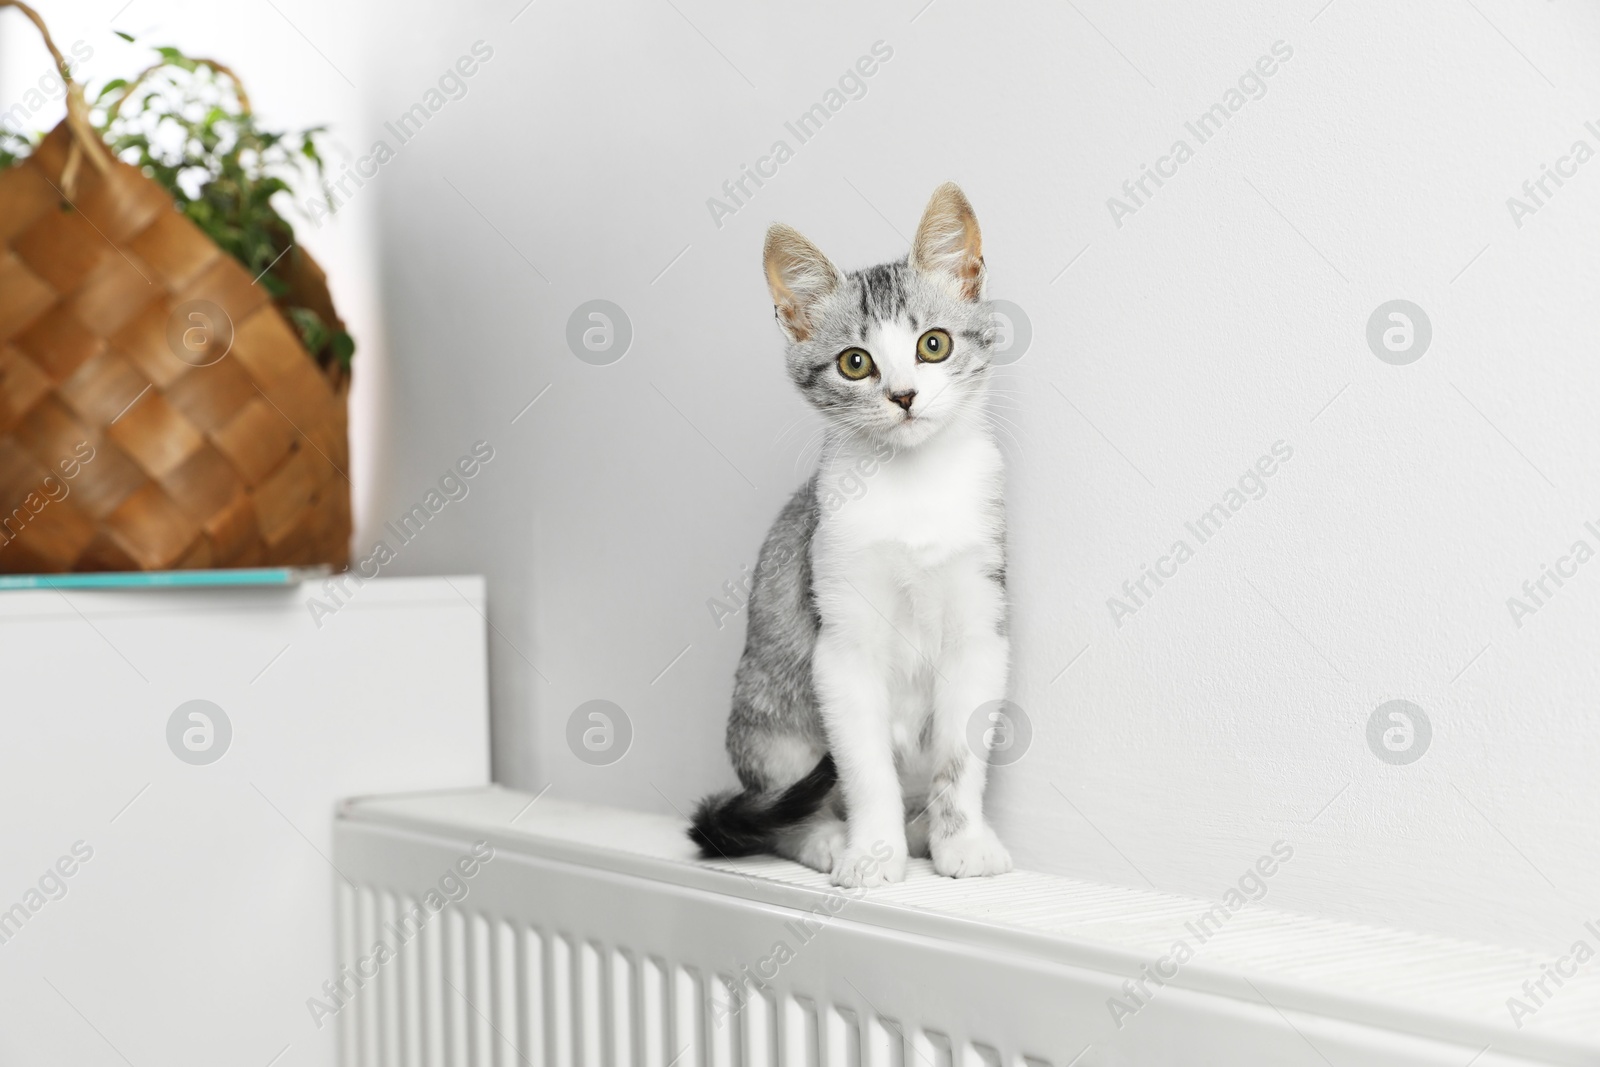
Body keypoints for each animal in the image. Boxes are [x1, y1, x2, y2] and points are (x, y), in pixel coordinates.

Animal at [691, 185, 1011, 895]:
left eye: (933, 344)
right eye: (855, 362)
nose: (904, 395)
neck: (913, 487)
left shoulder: (980, 628)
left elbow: (959, 757)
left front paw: (961, 840)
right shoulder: (840, 646)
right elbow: (865, 766)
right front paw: (871, 851)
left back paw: (922, 830)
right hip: (771, 720)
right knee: (780, 812)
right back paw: (827, 838)